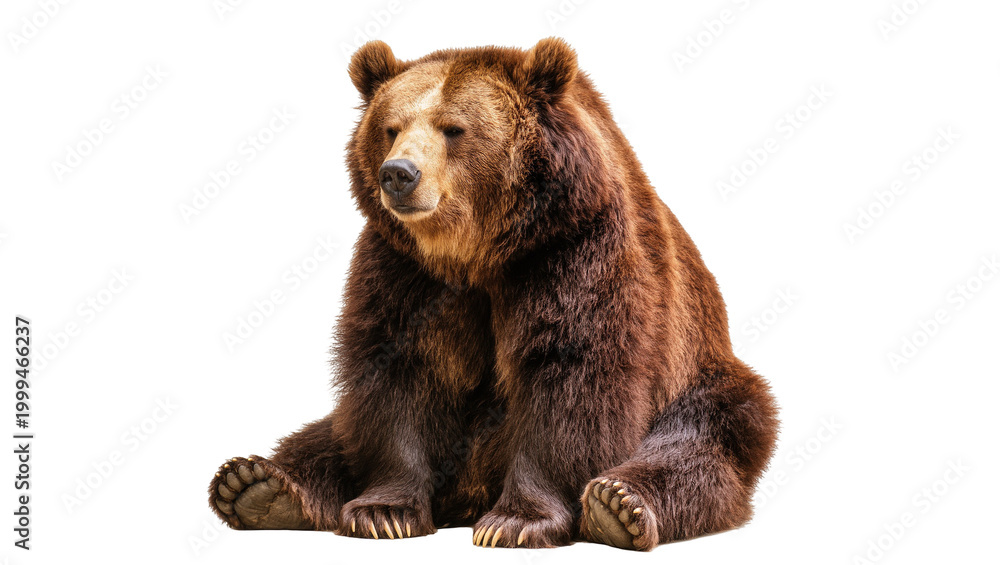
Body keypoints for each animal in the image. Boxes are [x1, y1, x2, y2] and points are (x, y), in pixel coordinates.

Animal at [208, 38, 779, 551]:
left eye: (453, 128)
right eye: (391, 127)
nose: (398, 174)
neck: (475, 253)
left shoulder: (573, 253)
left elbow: (568, 373)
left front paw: (516, 522)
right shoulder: (403, 270)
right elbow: (398, 372)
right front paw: (384, 512)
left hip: (701, 384)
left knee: (697, 447)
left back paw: (619, 505)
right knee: (328, 437)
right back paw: (258, 484)